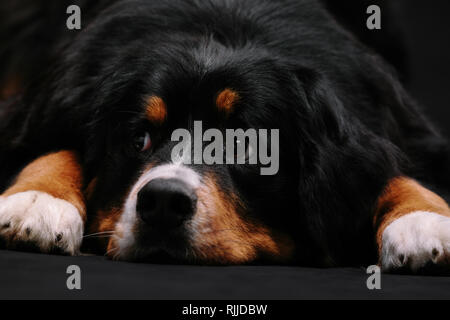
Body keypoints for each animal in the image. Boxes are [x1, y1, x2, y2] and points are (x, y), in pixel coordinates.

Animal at [0, 1, 450, 274]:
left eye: (247, 145)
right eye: (139, 139)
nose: (163, 201)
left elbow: (400, 171)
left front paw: (424, 220)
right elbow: (51, 147)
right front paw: (38, 200)